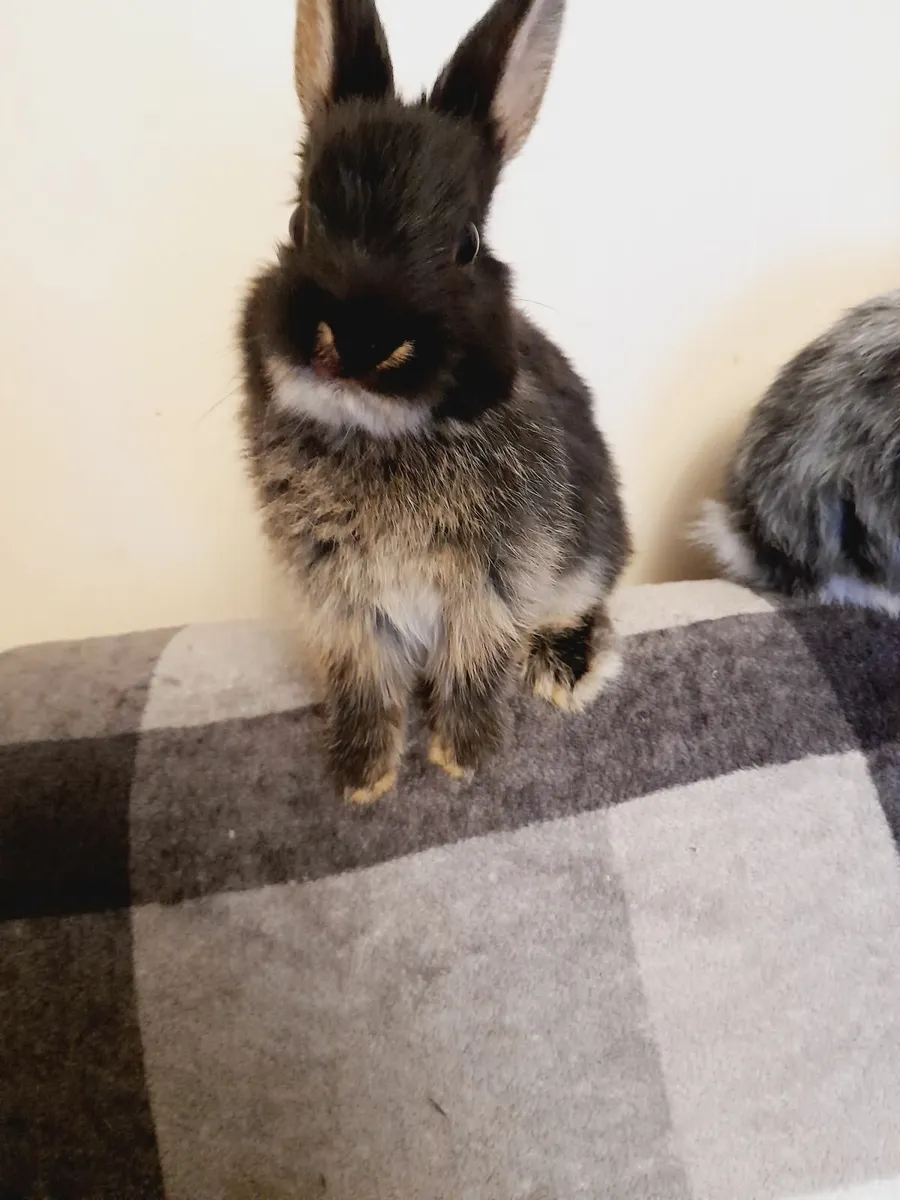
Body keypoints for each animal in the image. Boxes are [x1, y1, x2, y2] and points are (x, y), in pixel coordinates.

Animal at [239, 0, 631, 802]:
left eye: (467, 244)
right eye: (298, 222)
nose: (358, 341)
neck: (377, 434)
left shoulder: (497, 580)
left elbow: (476, 659)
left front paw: (463, 755)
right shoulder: (337, 597)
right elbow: (362, 675)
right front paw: (362, 776)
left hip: (595, 546)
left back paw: (567, 667)